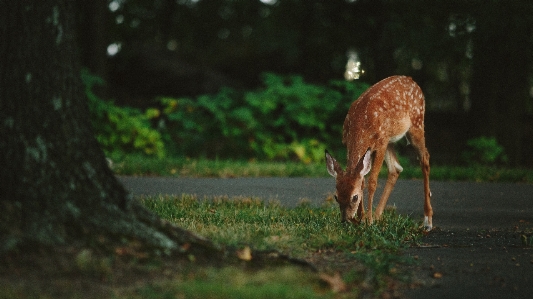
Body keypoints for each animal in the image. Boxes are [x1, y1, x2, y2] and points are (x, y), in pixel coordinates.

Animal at [324, 75, 432, 232]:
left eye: (354, 197)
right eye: (336, 196)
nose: (345, 220)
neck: (361, 125)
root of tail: (411, 80)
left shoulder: (380, 144)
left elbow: (372, 182)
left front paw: (368, 221)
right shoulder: (349, 143)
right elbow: (362, 180)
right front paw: (362, 219)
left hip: (416, 123)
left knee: (425, 159)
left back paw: (427, 220)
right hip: (390, 140)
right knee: (396, 168)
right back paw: (378, 216)